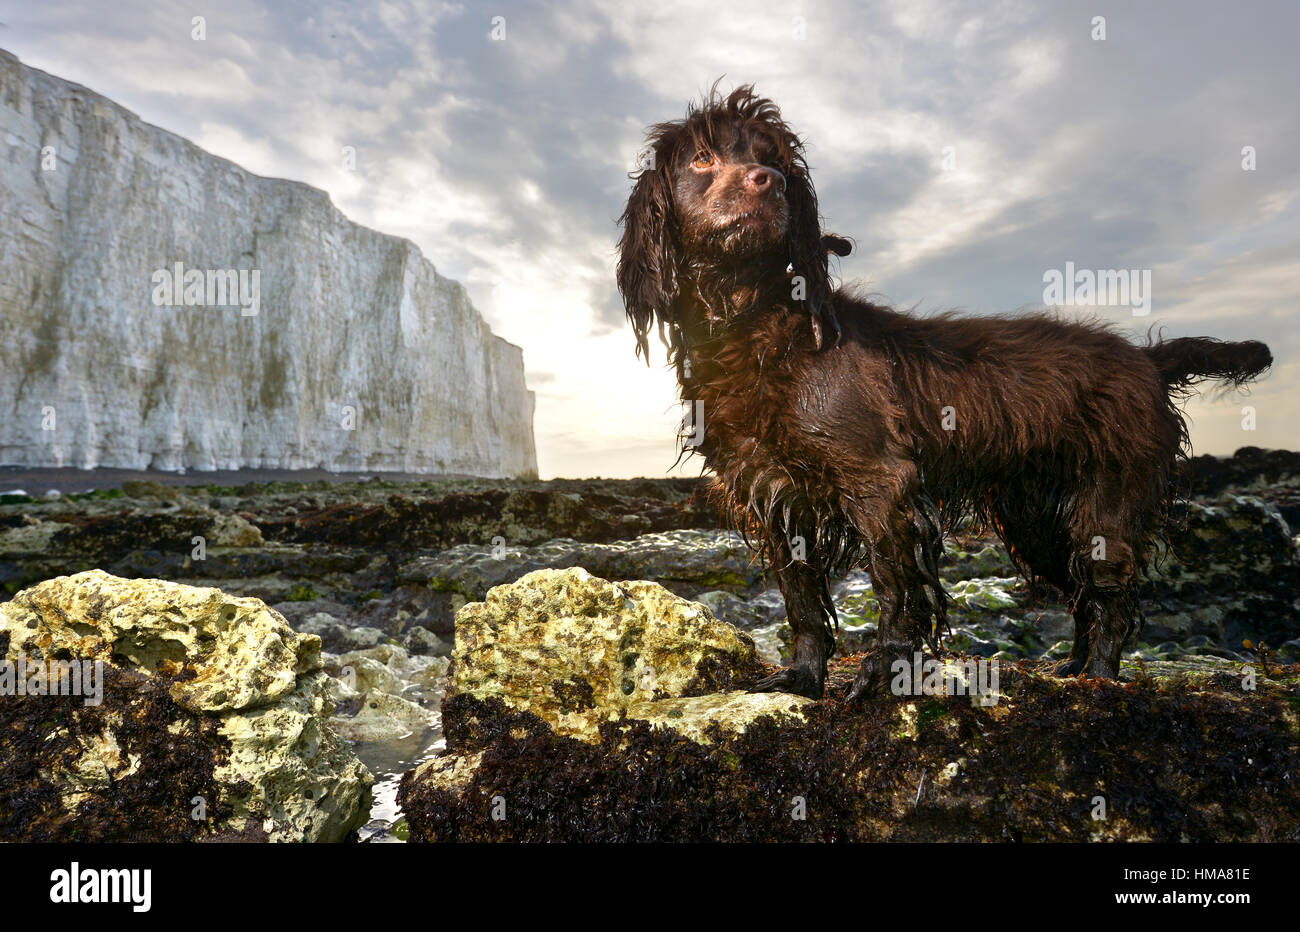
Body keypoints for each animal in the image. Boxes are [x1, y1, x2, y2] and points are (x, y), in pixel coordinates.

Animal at [613, 85, 1274, 696]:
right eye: (702, 158)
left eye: (774, 158)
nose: (768, 181)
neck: (753, 324)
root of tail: (1146, 358)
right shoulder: (773, 494)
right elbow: (801, 601)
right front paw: (801, 676)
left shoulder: (881, 480)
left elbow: (895, 585)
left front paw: (885, 670)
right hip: (1033, 520)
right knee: (1083, 596)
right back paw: (1071, 668)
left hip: (1105, 504)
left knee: (1111, 598)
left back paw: (1099, 680)